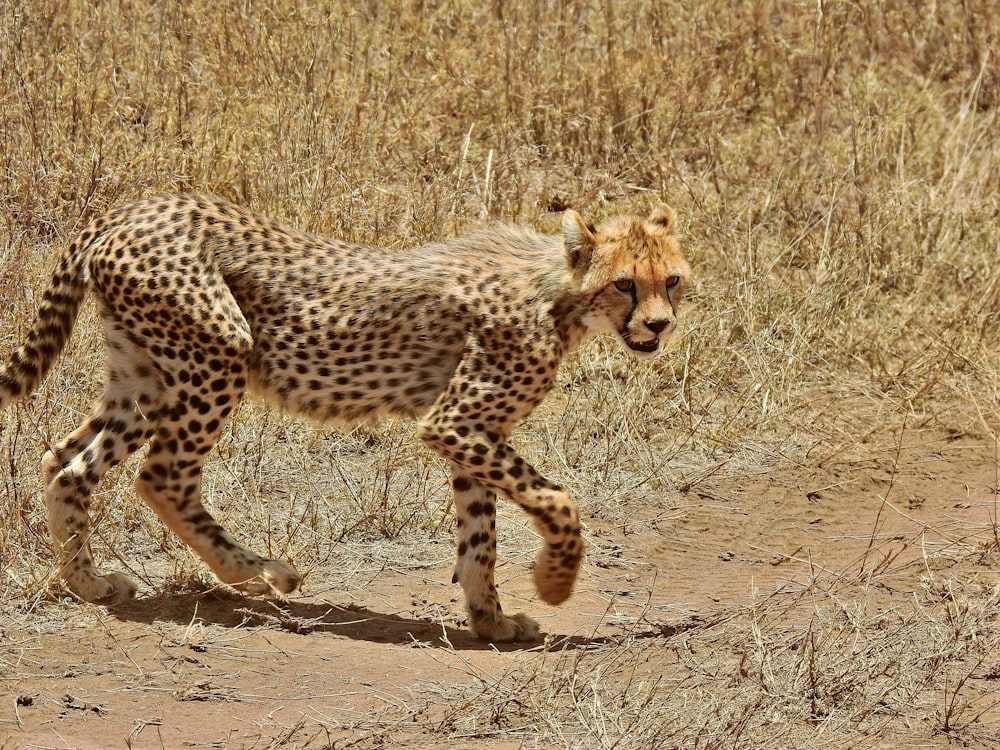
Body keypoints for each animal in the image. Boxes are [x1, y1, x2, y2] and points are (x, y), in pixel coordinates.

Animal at [0, 197, 688, 644]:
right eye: (625, 284)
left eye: (673, 281)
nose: (659, 324)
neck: (555, 292)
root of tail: (131, 207)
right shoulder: (455, 422)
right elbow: (559, 499)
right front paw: (554, 581)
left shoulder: (474, 434)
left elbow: (480, 535)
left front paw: (491, 620)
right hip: (219, 353)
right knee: (161, 477)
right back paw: (256, 571)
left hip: (144, 377)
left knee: (65, 462)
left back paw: (89, 585)